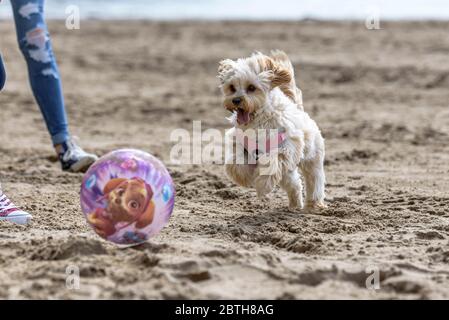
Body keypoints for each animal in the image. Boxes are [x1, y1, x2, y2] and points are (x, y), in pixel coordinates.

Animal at [218, 50, 326, 211]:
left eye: (251, 87)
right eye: (232, 87)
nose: (236, 100)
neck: (259, 120)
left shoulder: (285, 149)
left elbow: (270, 165)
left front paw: (262, 186)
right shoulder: (239, 141)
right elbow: (235, 162)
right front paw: (243, 177)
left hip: (312, 159)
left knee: (314, 179)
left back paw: (313, 204)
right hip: (288, 173)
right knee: (295, 184)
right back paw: (294, 204)